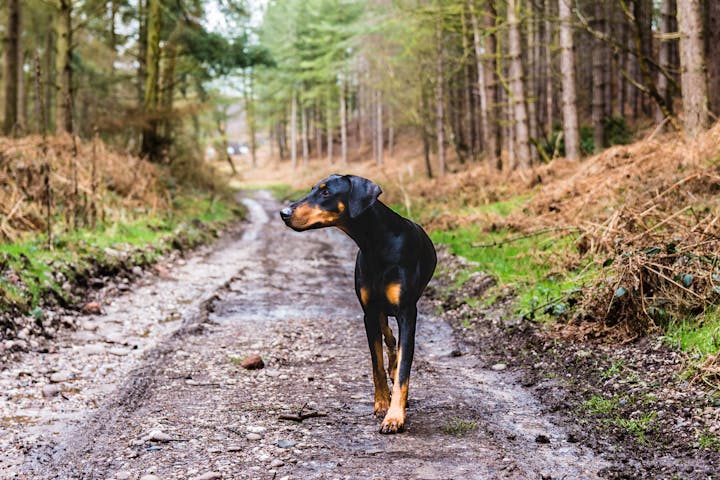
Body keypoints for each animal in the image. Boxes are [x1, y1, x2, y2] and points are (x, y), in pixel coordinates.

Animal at [278, 174, 436, 434]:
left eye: (326, 193)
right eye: (312, 189)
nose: (284, 212)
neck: (376, 244)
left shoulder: (407, 312)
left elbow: (404, 370)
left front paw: (394, 417)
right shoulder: (368, 313)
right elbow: (376, 364)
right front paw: (382, 403)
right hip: (379, 311)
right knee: (388, 335)